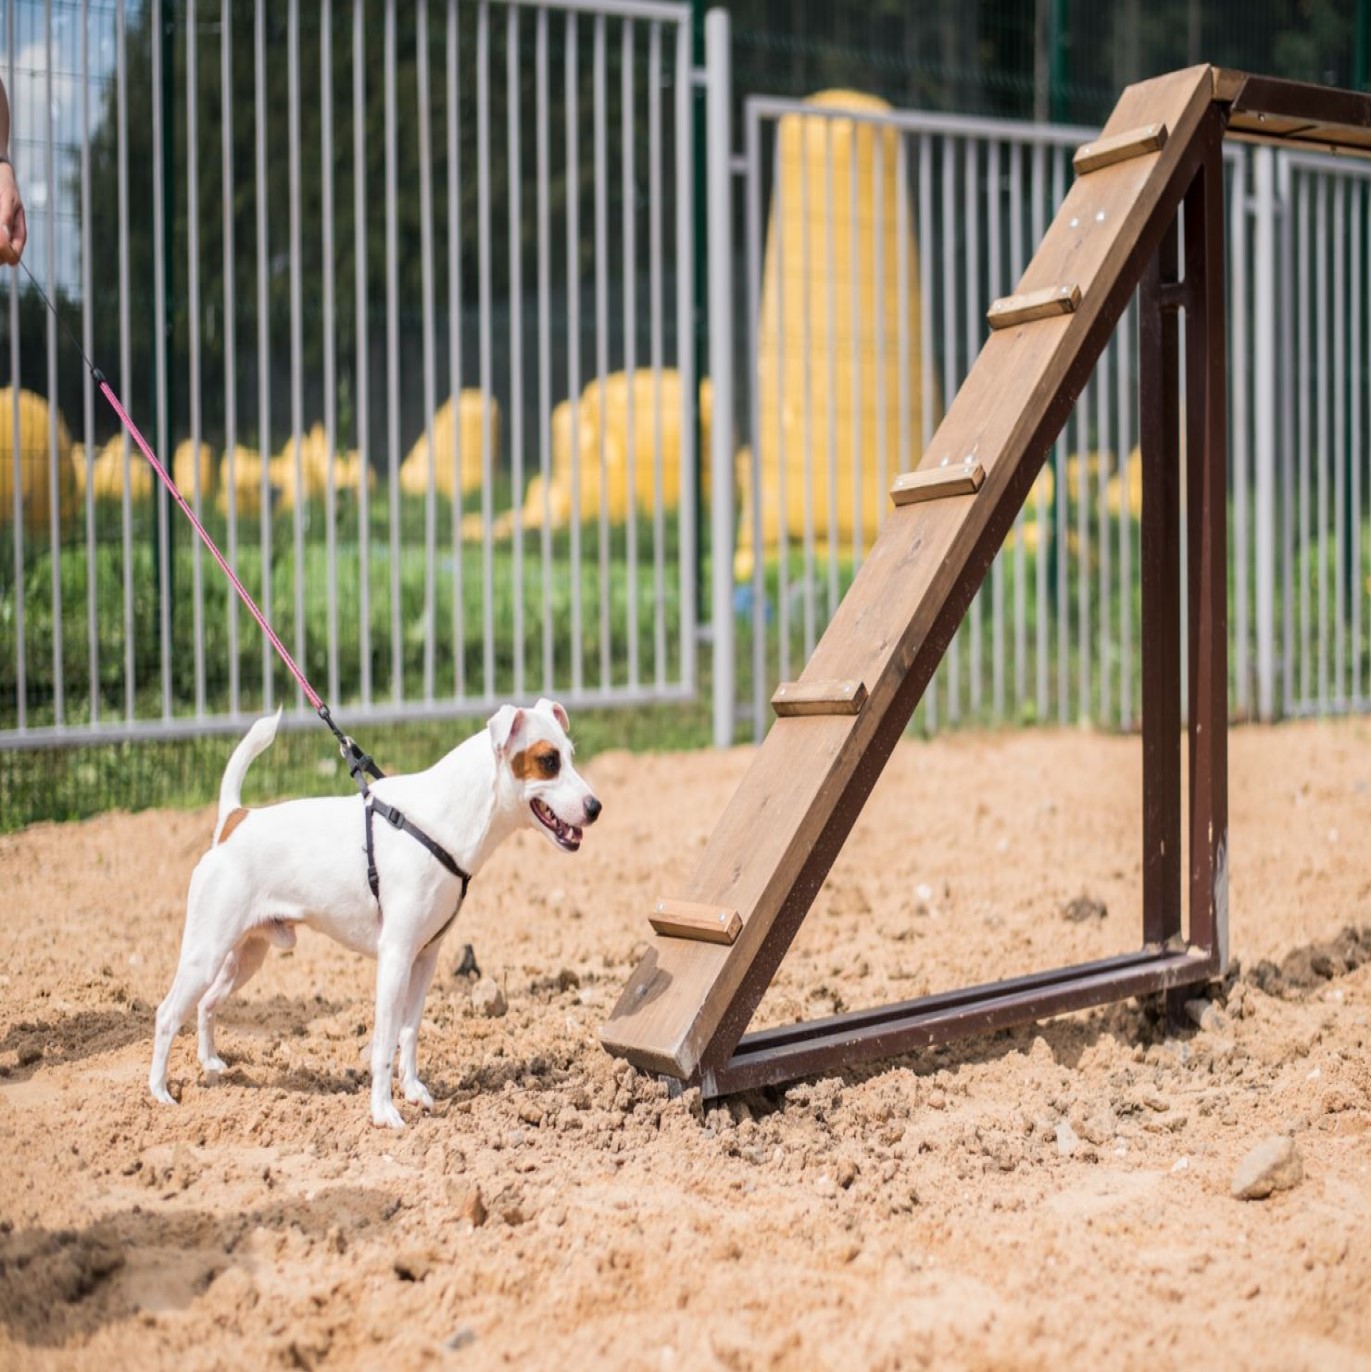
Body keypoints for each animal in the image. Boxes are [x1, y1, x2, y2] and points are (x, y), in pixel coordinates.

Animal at [151, 702, 601, 1130]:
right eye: (548, 761)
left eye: (571, 755)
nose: (596, 807)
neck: (443, 819)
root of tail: (234, 820)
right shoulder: (396, 957)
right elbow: (385, 1043)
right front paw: (384, 1112)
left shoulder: (426, 958)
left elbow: (410, 1031)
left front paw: (414, 1090)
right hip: (205, 954)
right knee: (168, 1014)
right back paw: (160, 1095)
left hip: (244, 957)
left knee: (207, 1004)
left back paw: (210, 1064)